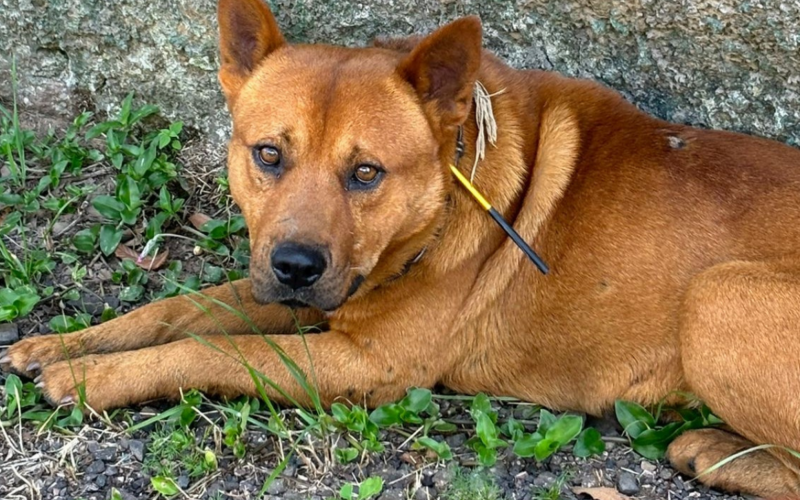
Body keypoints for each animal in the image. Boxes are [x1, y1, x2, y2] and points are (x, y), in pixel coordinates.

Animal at [1, 0, 800, 494]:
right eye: (268, 156)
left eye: (366, 173)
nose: (295, 267)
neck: (449, 192)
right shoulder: (305, 299)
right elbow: (178, 312)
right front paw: (64, 344)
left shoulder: (364, 364)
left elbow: (214, 352)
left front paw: (89, 379)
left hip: (717, 297)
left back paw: (714, 450)